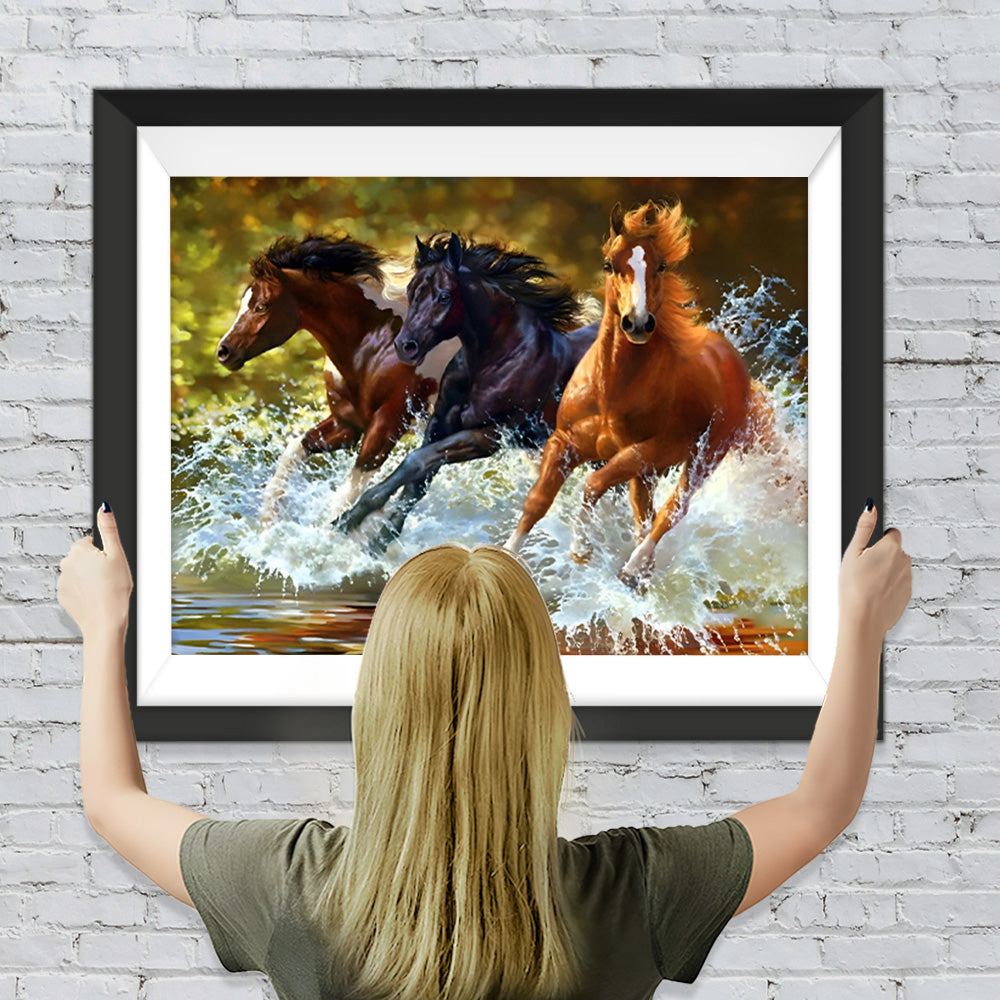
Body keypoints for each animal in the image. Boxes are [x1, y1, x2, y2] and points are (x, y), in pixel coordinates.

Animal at [215, 234, 457, 525]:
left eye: (261, 306)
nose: (223, 351)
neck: (377, 346)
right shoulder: (347, 424)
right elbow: (295, 450)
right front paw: (269, 522)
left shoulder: (386, 427)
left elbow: (345, 497)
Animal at [332, 232, 601, 554]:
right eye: (411, 291)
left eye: (444, 296)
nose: (405, 346)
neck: (496, 360)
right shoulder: (442, 423)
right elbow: (418, 480)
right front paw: (379, 538)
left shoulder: (488, 436)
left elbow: (415, 462)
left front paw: (352, 519)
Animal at [504, 199, 776, 590]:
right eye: (609, 264)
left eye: (661, 265)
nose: (637, 322)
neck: (611, 390)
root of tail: (734, 363)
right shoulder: (565, 441)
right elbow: (537, 501)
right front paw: (505, 557)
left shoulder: (652, 450)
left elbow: (593, 484)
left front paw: (580, 548)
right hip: (645, 472)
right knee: (643, 513)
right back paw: (641, 571)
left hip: (701, 456)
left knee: (672, 509)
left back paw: (634, 568)